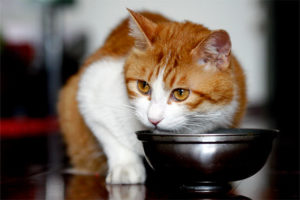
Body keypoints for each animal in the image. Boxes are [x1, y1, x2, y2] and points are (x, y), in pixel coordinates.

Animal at [58, 9, 246, 184]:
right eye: (143, 86)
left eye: (180, 93)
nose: (153, 119)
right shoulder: (89, 88)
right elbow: (111, 138)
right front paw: (125, 167)